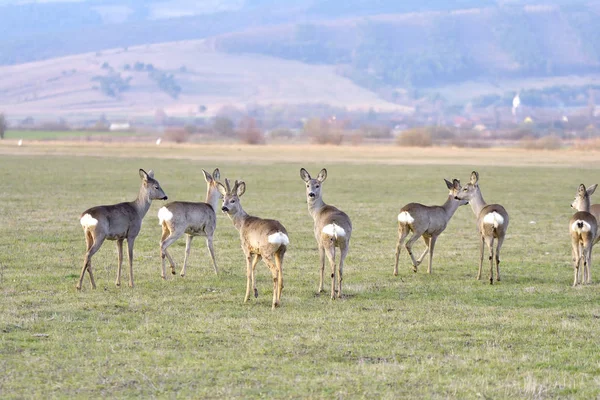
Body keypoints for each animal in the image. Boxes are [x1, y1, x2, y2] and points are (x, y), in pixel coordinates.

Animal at [218, 179, 288, 310]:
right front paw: (255, 293)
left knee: (275, 271)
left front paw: (246, 298)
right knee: (281, 274)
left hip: (267, 252)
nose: (224, 208)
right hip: (280, 252)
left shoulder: (246, 248)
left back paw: (273, 304)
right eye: (223, 198)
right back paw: (278, 302)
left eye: (233, 200)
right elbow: (254, 268)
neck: (242, 223)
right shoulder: (257, 252)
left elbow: (248, 272)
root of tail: (280, 232)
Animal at [300, 167, 352, 298]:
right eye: (307, 185)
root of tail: (334, 227)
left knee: (332, 265)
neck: (317, 212)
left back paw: (332, 295)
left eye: (317, 185)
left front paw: (320, 289)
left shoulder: (319, 242)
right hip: (345, 244)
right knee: (340, 266)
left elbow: (321, 265)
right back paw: (339, 294)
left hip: (327, 243)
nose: (311, 194)